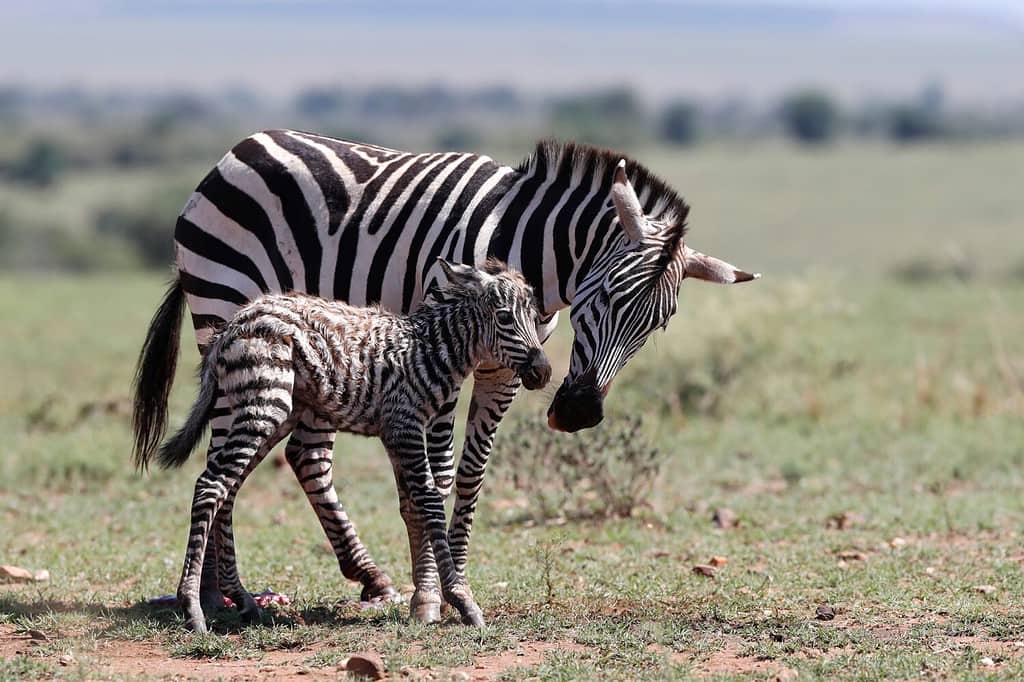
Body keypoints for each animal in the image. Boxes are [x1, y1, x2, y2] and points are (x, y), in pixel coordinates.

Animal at [146, 260, 550, 632]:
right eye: (504, 318)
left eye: (535, 317)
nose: (543, 372)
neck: (431, 350)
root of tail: (233, 323)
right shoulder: (405, 423)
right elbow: (431, 503)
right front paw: (462, 600)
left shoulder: (395, 432)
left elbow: (414, 505)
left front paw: (427, 601)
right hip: (263, 403)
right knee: (210, 486)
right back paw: (193, 608)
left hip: (275, 413)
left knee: (226, 490)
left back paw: (243, 600)